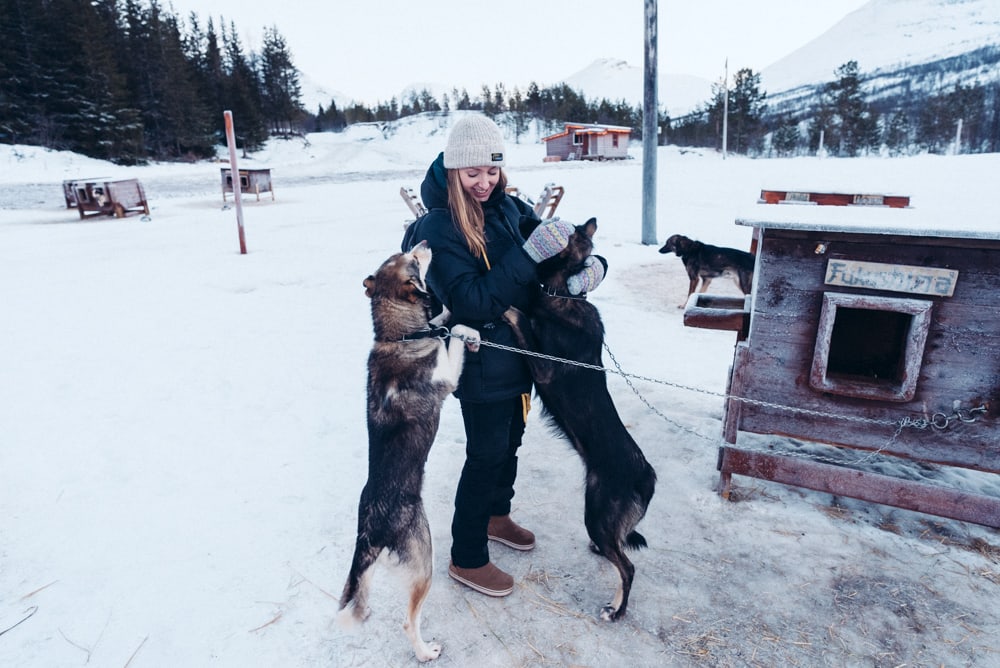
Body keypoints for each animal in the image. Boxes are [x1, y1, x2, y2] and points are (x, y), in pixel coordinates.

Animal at [340, 241, 480, 664]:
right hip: (424, 564)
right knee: (408, 621)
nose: (423, 243)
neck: (398, 335)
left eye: (404, 256)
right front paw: (468, 331)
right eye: (414, 261)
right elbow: (452, 336)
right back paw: (425, 652)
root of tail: (370, 532)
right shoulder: (446, 377)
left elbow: (447, 321)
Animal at [500, 219, 656, 620]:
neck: (563, 293)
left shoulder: (543, 367)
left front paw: (509, 307)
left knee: (628, 567)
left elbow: (521, 318)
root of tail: (646, 477)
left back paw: (616, 609)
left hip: (596, 513)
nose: (522, 216)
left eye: (543, 224)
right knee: (618, 549)